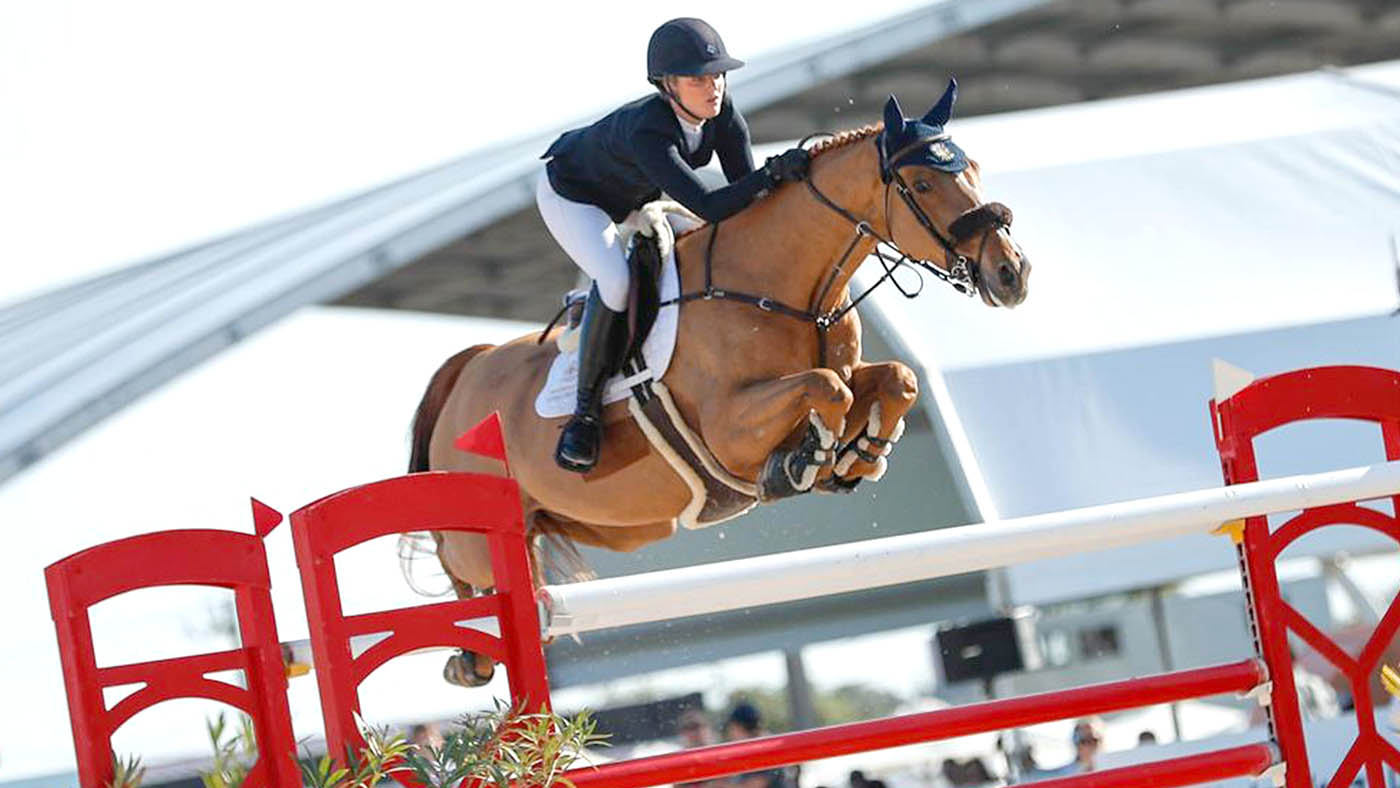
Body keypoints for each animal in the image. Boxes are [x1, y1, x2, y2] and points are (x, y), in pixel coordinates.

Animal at [408, 82, 1030, 685]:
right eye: (922, 182)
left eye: (974, 166)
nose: (1012, 274)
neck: (787, 292)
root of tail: (469, 369)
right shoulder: (729, 431)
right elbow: (828, 387)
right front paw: (807, 460)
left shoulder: (844, 374)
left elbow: (890, 380)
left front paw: (859, 454)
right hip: (478, 533)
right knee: (456, 564)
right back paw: (469, 658)